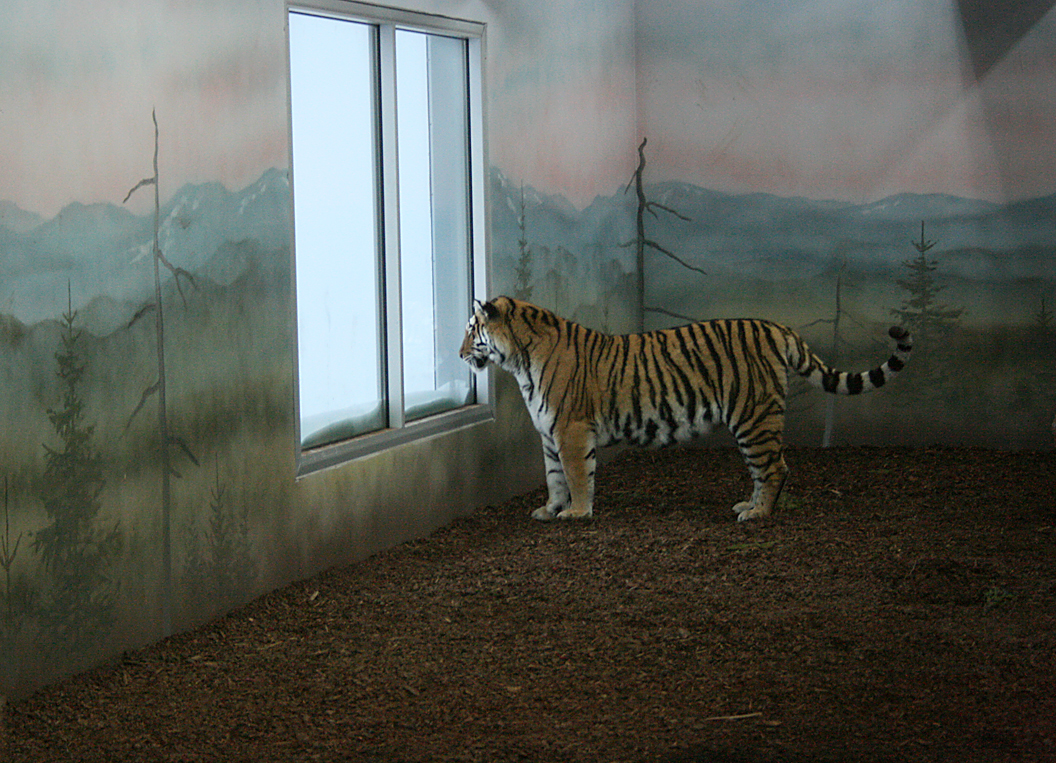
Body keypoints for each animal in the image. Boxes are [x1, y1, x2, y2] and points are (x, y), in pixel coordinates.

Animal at [459, 296, 912, 522]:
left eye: (470, 329)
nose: (461, 353)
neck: (519, 362)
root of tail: (775, 327)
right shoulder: (550, 434)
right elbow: (553, 476)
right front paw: (551, 509)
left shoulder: (571, 429)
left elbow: (576, 475)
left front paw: (577, 512)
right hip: (753, 423)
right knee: (764, 470)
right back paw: (747, 506)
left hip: (754, 418)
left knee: (775, 468)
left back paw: (759, 515)